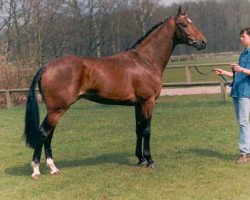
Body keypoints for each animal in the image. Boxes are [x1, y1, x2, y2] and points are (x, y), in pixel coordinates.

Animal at [23, 6, 207, 179]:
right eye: (184, 24)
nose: (203, 42)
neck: (145, 61)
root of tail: (47, 66)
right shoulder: (148, 102)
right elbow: (147, 129)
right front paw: (150, 160)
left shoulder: (138, 104)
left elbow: (139, 129)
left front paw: (140, 159)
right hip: (57, 110)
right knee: (43, 134)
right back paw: (37, 170)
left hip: (54, 111)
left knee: (48, 135)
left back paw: (52, 168)